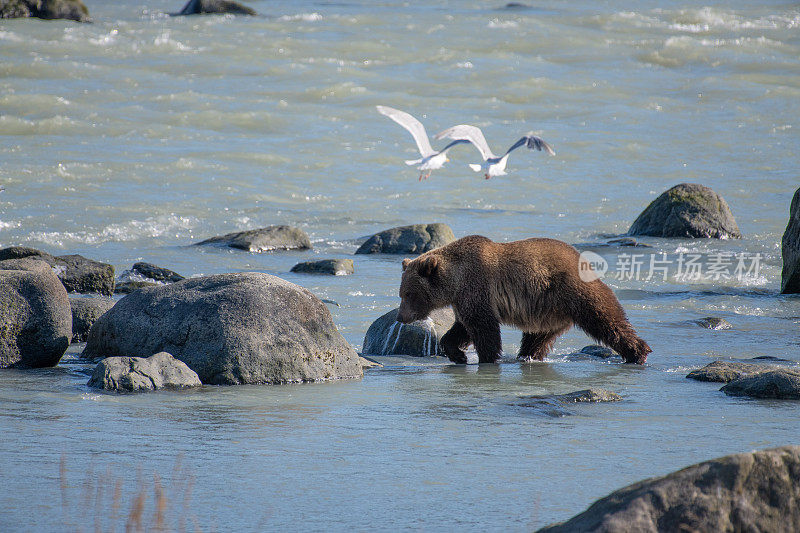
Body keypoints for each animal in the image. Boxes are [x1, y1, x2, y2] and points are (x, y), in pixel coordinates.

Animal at [396, 235, 652, 364]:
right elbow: (462, 328)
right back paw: (528, 356)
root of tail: (581, 257)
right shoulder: (464, 300)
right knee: (537, 338)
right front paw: (458, 355)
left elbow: (484, 328)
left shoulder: (477, 288)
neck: (455, 281)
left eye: (409, 294)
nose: (400, 317)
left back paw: (638, 352)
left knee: (605, 318)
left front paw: (486, 358)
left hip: (572, 291)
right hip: (549, 311)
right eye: (401, 293)